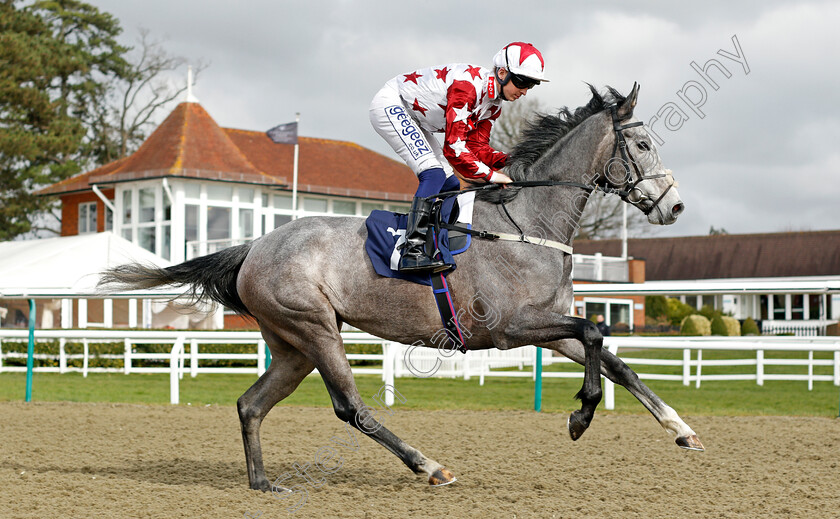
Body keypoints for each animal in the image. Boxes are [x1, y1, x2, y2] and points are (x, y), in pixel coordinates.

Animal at [100, 84, 704, 492]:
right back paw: (429, 466)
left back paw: (262, 483)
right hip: (315, 328)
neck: (527, 221)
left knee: (251, 404)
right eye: (642, 144)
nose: (675, 207)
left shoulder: (547, 329)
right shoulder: (512, 329)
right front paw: (580, 417)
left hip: (292, 345)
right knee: (351, 408)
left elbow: (614, 359)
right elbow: (596, 329)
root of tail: (255, 246)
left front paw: (681, 430)